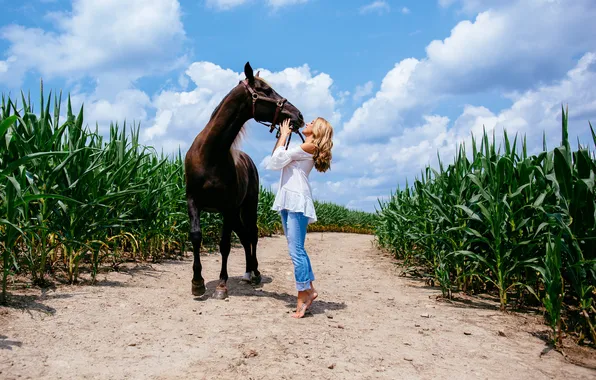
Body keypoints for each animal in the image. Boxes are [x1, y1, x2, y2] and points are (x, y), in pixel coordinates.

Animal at [185, 63, 304, 300]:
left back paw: (255, 273)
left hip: (248, 206)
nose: (298, 115)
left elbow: (224, 244)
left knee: (252, 234)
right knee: (244, 235)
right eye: (266, 90)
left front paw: (221, 285)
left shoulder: (227, 207)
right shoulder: (193, 201)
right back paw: (248, 273)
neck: (209, 154)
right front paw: (197, 283)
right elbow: (196, 236)